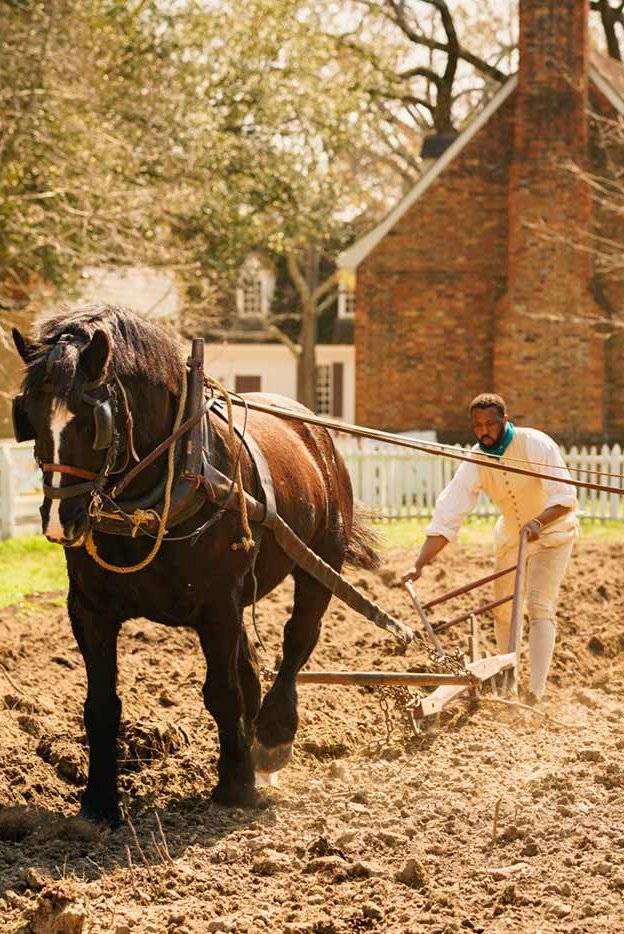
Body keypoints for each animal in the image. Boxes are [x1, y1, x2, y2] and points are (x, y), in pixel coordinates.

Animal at [11, 304, 380, 824]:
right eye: (29, 414)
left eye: (90, 419)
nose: (61, 521)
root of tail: (313, 428)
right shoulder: (89, 611)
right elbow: (101, 705)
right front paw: (99, 802)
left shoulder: (217, 607)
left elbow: (222, 693)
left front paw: (236, 786)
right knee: (252, 669)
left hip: (320, 560)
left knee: (298, 638)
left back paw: (272, 736)